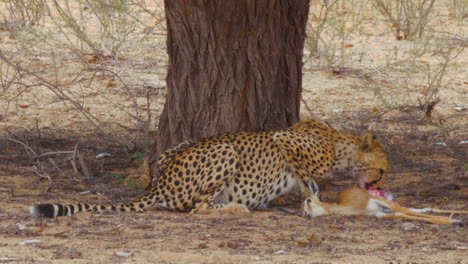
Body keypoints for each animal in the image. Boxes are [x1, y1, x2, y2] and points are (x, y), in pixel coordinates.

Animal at [29, 119, 388, 219]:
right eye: (383, 170)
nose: (378, 184)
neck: (340, 144)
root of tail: (158, 183)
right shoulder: (284, 138)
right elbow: (306, 176)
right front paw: (312, 197)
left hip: (180, 146)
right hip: (225, 149)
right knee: (196, 208)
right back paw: (234, 208)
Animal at [304, 180, 464, 224]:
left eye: (308, 200)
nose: (305, 214)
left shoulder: (378, 202)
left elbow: (406, 212)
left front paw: (453, 221)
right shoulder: (378, 214)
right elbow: (404, 215)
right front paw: (453, 221)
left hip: (385, 202)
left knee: (409, 208)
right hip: (385, 208)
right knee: (421, 209)